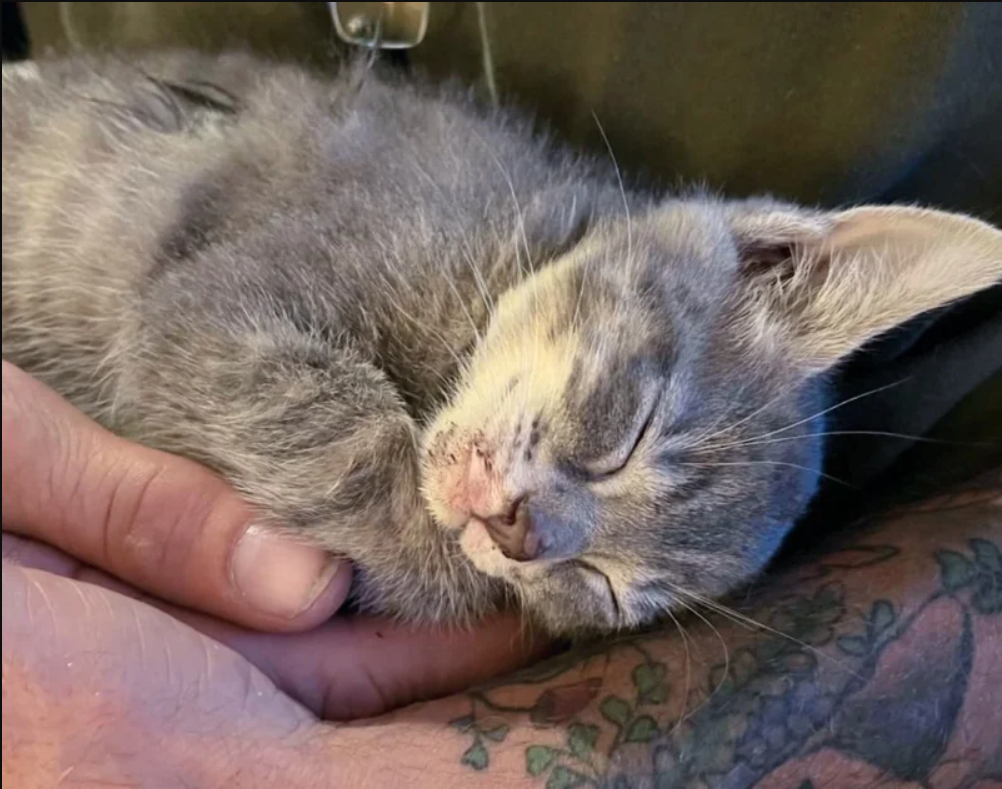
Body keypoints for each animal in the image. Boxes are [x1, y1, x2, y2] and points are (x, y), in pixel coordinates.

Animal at [3, 53, 997, 637]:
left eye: (601, 586)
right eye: (630, 431)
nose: (523, 535)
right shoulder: (213, 303)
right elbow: (347, 435)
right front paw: (418, 549)